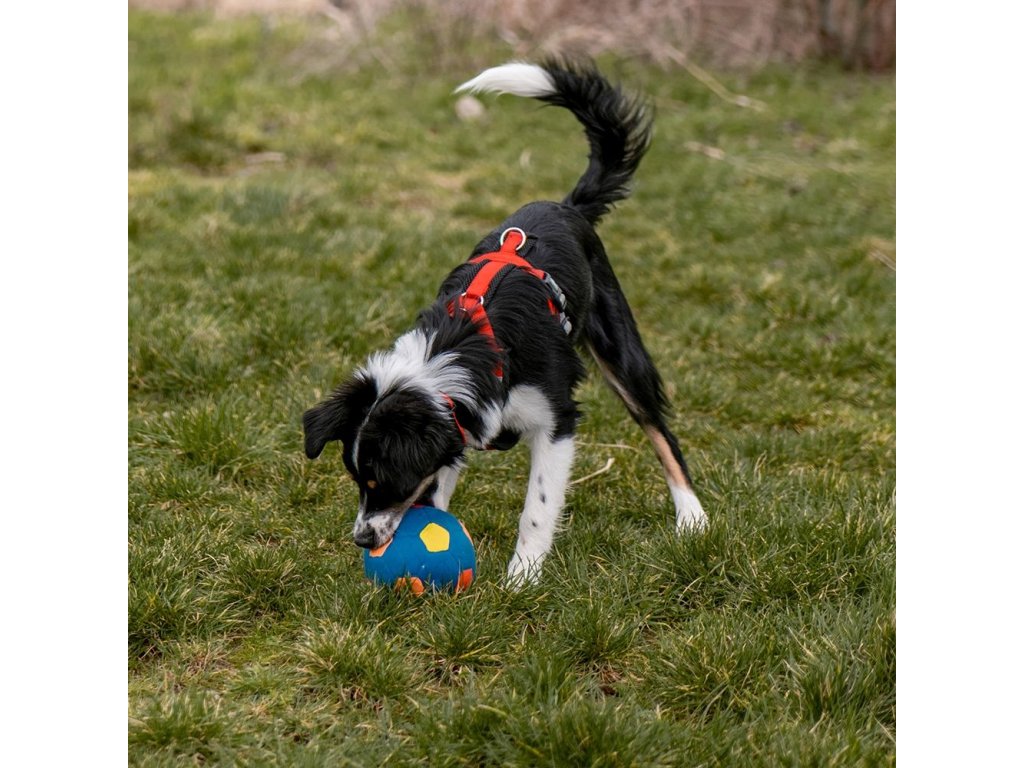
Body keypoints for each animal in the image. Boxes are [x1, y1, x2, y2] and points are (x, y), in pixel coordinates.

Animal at [303, 58, 707, 585]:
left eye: (387, 478)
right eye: (357, 479)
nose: (364, 541)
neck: (461, 345)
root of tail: (566, 206)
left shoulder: (557, 420)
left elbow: (537, 507)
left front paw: (521, 579)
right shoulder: (459, 427)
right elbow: (440, 492)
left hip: (620, 348)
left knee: (659, 429)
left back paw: (692, 516)